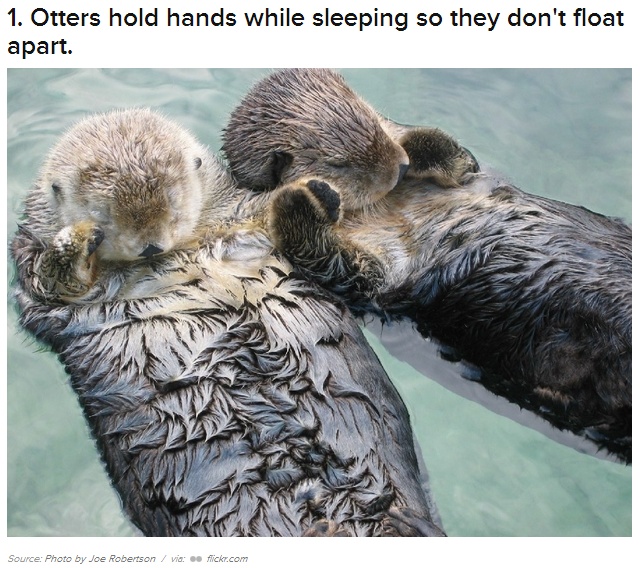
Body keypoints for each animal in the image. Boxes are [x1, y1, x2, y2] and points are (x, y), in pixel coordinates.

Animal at [12, 109, 444, 537]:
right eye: (104, 215)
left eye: (173, 202)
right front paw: (77, 238)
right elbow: (52, 282)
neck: (183, 252)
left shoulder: (242, 219)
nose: (150, 246)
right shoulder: (39, 284)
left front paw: (317, 191)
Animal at [222, 69, 632, 464]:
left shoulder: (471, 176)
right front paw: (305, 196)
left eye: (372, 117)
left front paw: (415, 147)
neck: (386, 205)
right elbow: (333, 261)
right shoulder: (374, 277)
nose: (401, 167)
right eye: (339, 163)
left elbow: (459, 156)